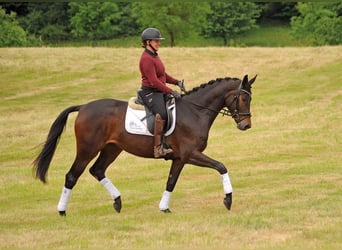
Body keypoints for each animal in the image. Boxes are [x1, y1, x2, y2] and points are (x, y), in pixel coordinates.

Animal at [33, 73, 256, 215]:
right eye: (243, 98)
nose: (246, 125)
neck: (195, 111)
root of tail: (84, 107)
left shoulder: (179, 158)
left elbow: (171, 182)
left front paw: (164, 207)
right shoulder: (190, 154)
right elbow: (221, 166)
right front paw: (228, 200)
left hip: (112, 149)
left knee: (97, 170)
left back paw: (117, 202)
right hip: (87, 149)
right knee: (72, 176)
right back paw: (62, 211)